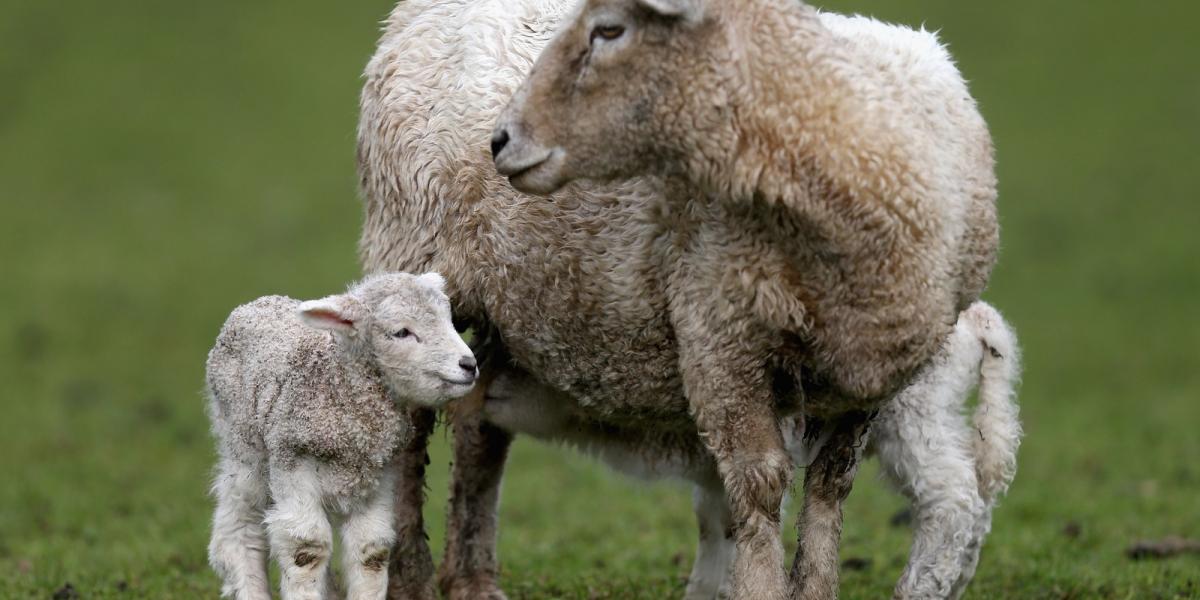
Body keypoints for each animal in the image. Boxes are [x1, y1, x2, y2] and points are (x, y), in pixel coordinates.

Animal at [204, 273, 475, 600]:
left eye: (450, 320)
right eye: (401, 332)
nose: (469, 365)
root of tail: (255, 303)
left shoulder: (378, 477)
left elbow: (371, 550)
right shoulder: (293, 464)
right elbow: (306, 549)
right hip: (243, 447)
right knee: (239, 526)